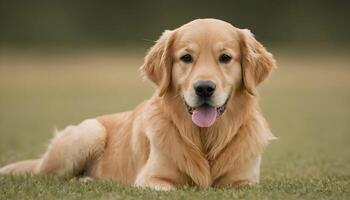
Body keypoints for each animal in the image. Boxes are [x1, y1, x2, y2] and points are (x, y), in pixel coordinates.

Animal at [0, 18, 276, 189]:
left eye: (225, 57)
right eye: (186, 57)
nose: (204, 88)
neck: (204, 139)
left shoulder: (246, 183)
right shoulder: (151, 179)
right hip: (88, 133)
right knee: (49, 177)